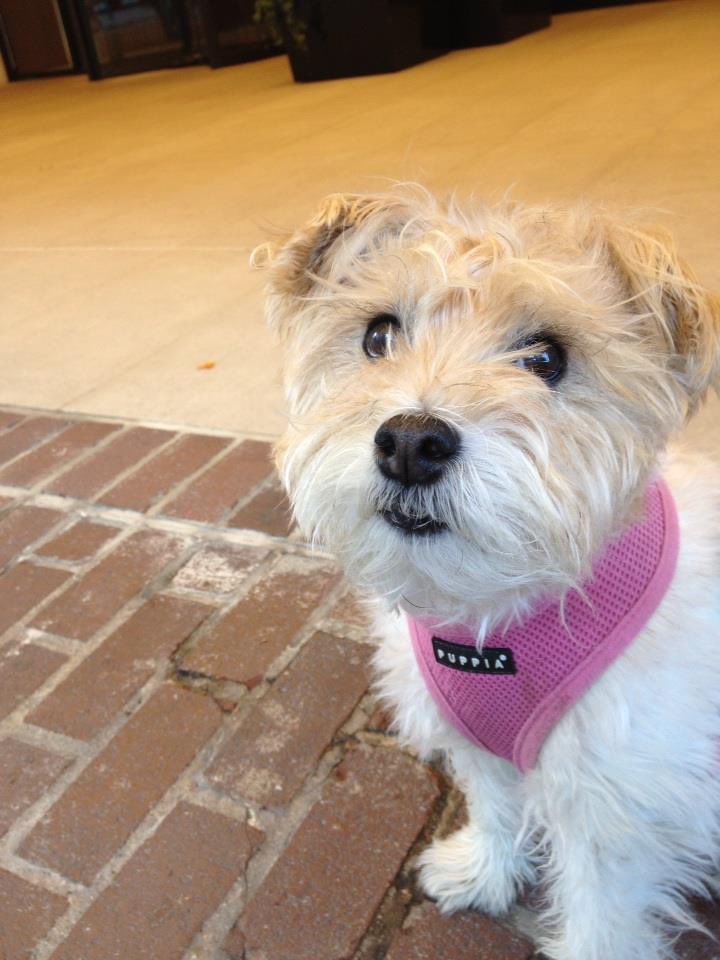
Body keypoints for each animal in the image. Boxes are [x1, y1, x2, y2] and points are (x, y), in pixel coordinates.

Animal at [252, 189, 720, 960]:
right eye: (379, 335)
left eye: (547, 356)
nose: (410, 443)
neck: (495, 617)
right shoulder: (475, 738)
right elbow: (496, 807)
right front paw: (483, 873)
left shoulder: (612, 812)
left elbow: (598, 921)